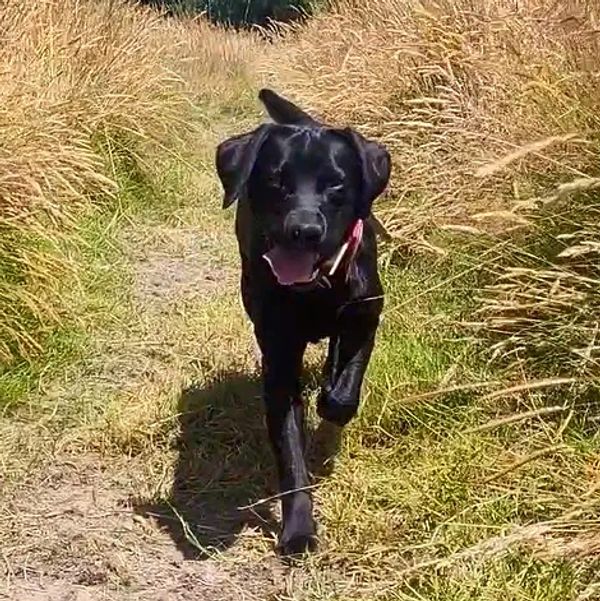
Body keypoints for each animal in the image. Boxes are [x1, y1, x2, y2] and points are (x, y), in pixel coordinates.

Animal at [213, 88, 392, 552]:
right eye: (276, 181)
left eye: (336, 184)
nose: (305, 229)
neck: (316, 287)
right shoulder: (278, 362)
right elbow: (291, 457)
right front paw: (298, 530)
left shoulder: (366, 314)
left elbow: (346, 384)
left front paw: (332, 399)